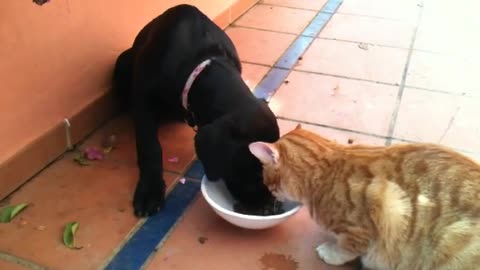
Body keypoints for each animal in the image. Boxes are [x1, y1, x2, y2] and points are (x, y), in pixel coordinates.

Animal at [113, 4, 280, 217]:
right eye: (255, 172)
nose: (269, 207)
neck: (201, 63)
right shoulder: (143, 97)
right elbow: (149, 146)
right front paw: (150, 190)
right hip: (122, 61)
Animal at [249, 124, 478, 270]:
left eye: (266, 182)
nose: (271, 195)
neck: (325, 170)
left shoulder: (374, 219)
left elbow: (346, 249)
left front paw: (331, 253)